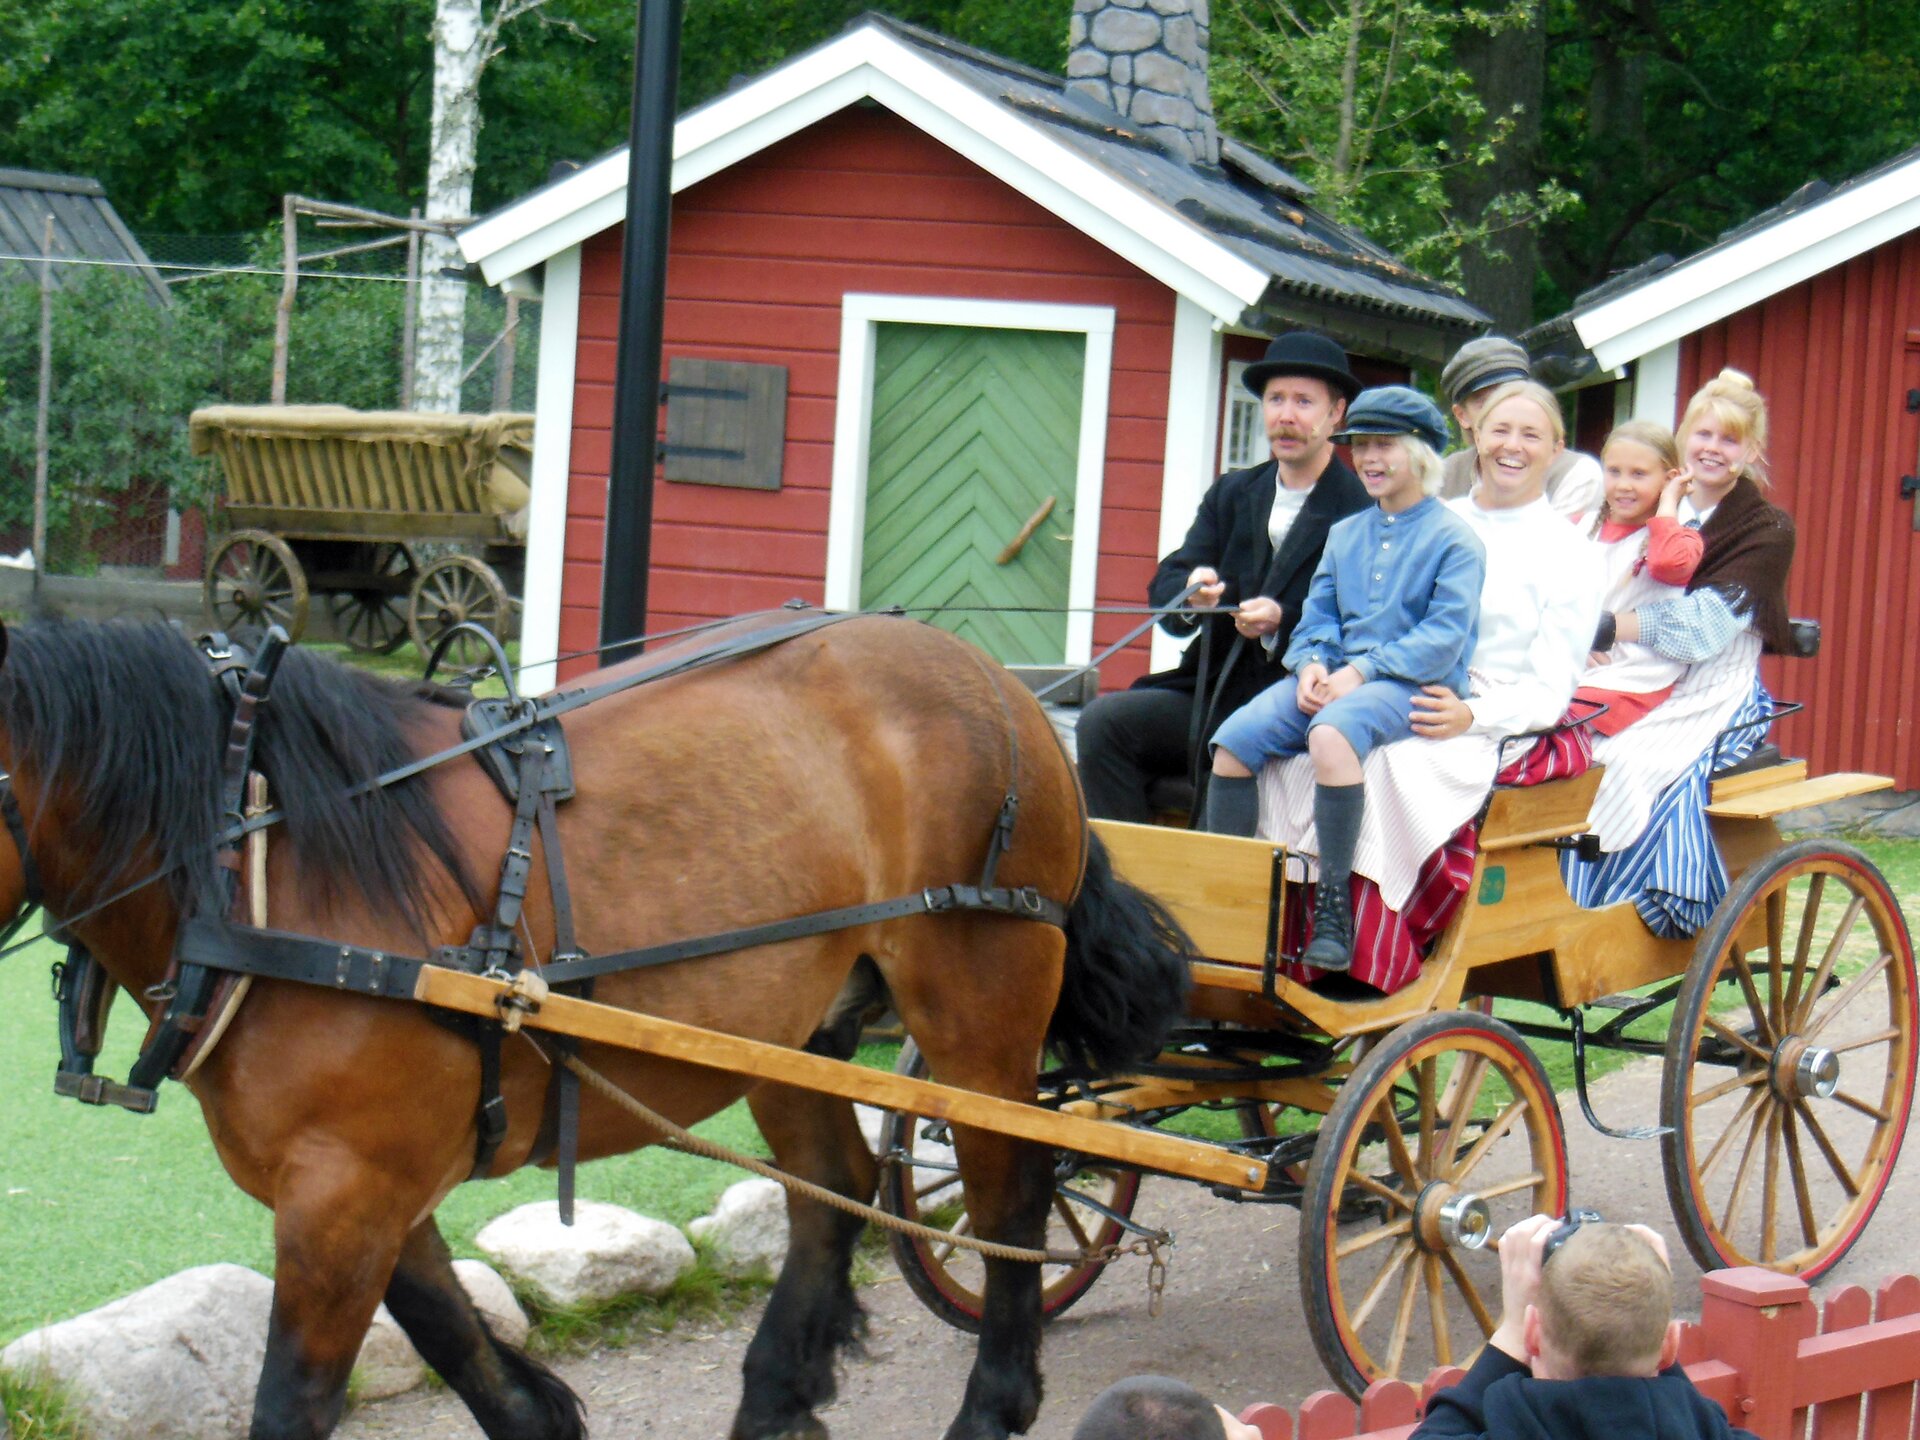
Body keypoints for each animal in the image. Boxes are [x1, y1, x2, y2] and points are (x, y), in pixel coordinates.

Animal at [0, 618, 1190, 1440]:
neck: (261, 856)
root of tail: (1007, 685)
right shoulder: (369, 1193)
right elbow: (475, 1363)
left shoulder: (348, 1192)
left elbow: (295, 1404)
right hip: (793, 1026)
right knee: (834, 1189)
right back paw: (775, 1398)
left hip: (977, 1003)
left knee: (1013, 1188)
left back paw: (994, 1401)